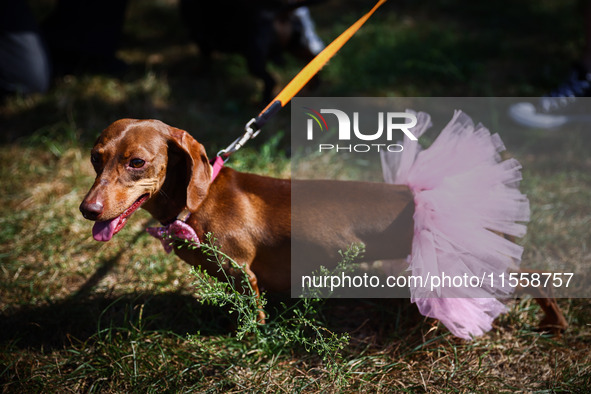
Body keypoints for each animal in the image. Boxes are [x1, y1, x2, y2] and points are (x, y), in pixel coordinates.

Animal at [80, 119, 568, 332]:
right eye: (95, 157)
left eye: (137, 162)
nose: (88, 209)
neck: (195, 202)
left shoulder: (242, 271)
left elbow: (253, 313)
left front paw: (252, 337)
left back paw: (554, 318)